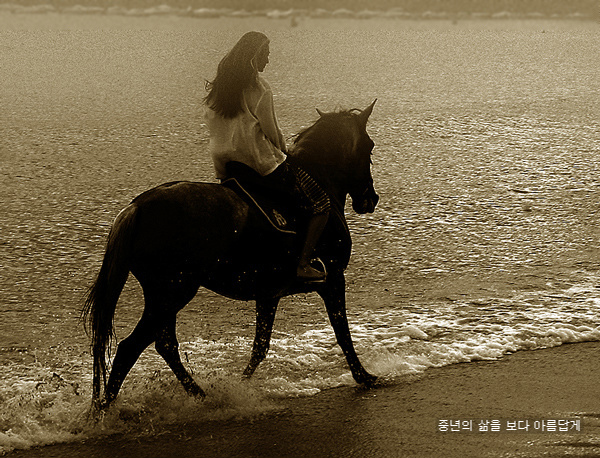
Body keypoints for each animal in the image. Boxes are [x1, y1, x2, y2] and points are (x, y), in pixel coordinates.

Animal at [82, 99, 378, 408]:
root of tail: (137, 207)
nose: (370, 198)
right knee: (132, 347)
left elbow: (260, 346)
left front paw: (242, 384)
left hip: (165, 295)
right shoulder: (333, 279)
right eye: (369, 146)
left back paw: (198, 395)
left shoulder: (269, 293)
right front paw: (364, 377)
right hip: (172, 293)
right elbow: (342, 333)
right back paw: (105, 409)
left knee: (164, 344)